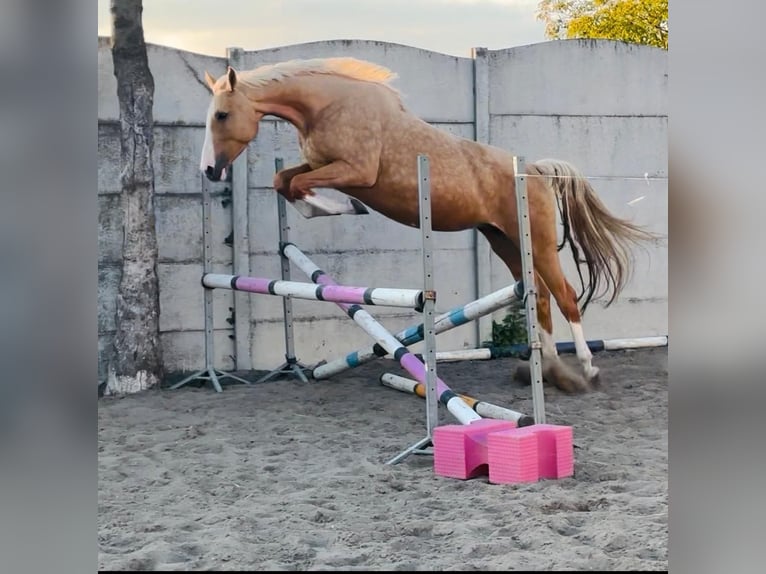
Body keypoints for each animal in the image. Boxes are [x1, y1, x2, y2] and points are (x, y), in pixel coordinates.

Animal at [199, 57, 657, 393]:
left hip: (538, 244)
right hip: (505, 242)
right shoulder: (319, 166)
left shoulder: (355, 172)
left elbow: (299, 186)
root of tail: (537, 172)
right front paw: (333, 207)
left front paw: (345, 207)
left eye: (221, 115)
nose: (208, 171)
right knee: (540, 297)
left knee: (565, 297)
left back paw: (587, 368)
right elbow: (285, 181)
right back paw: (546, 369)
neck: (328, 106)